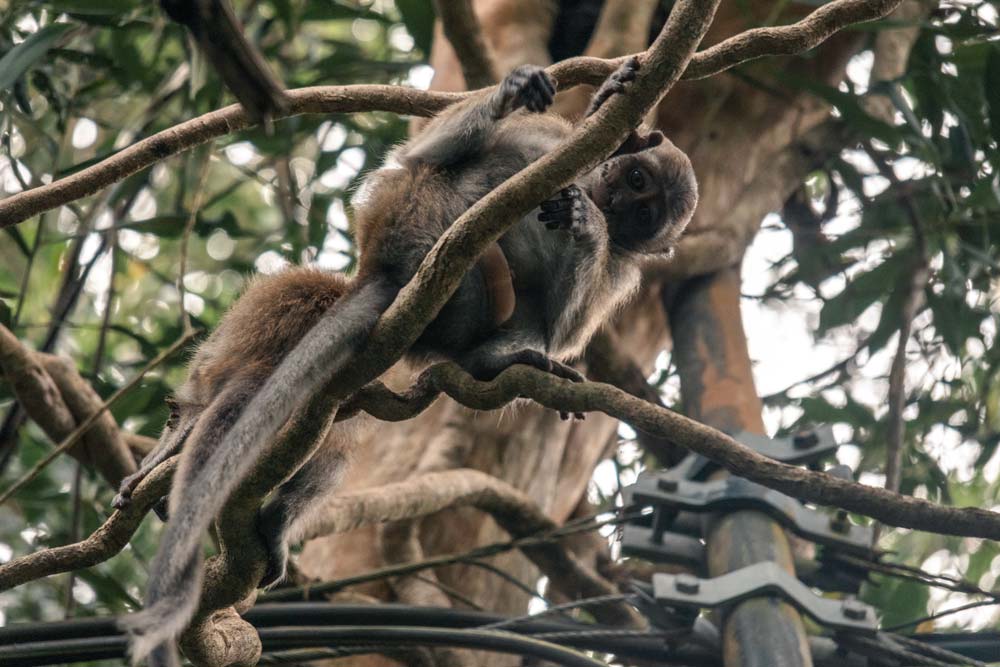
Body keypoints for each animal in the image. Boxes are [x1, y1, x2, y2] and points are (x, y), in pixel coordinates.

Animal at [117, 57, 698, 667]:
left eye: (646, 213)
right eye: (638, 182)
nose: (618, 201)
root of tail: (387, 269)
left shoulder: (621, 270)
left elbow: (565, 323)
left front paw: (587, 226)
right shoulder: (557, 146)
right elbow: (427, 153)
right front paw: (571, 97)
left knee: (519, 312)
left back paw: (496, 357)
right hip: (412, 210)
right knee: (442, 169)